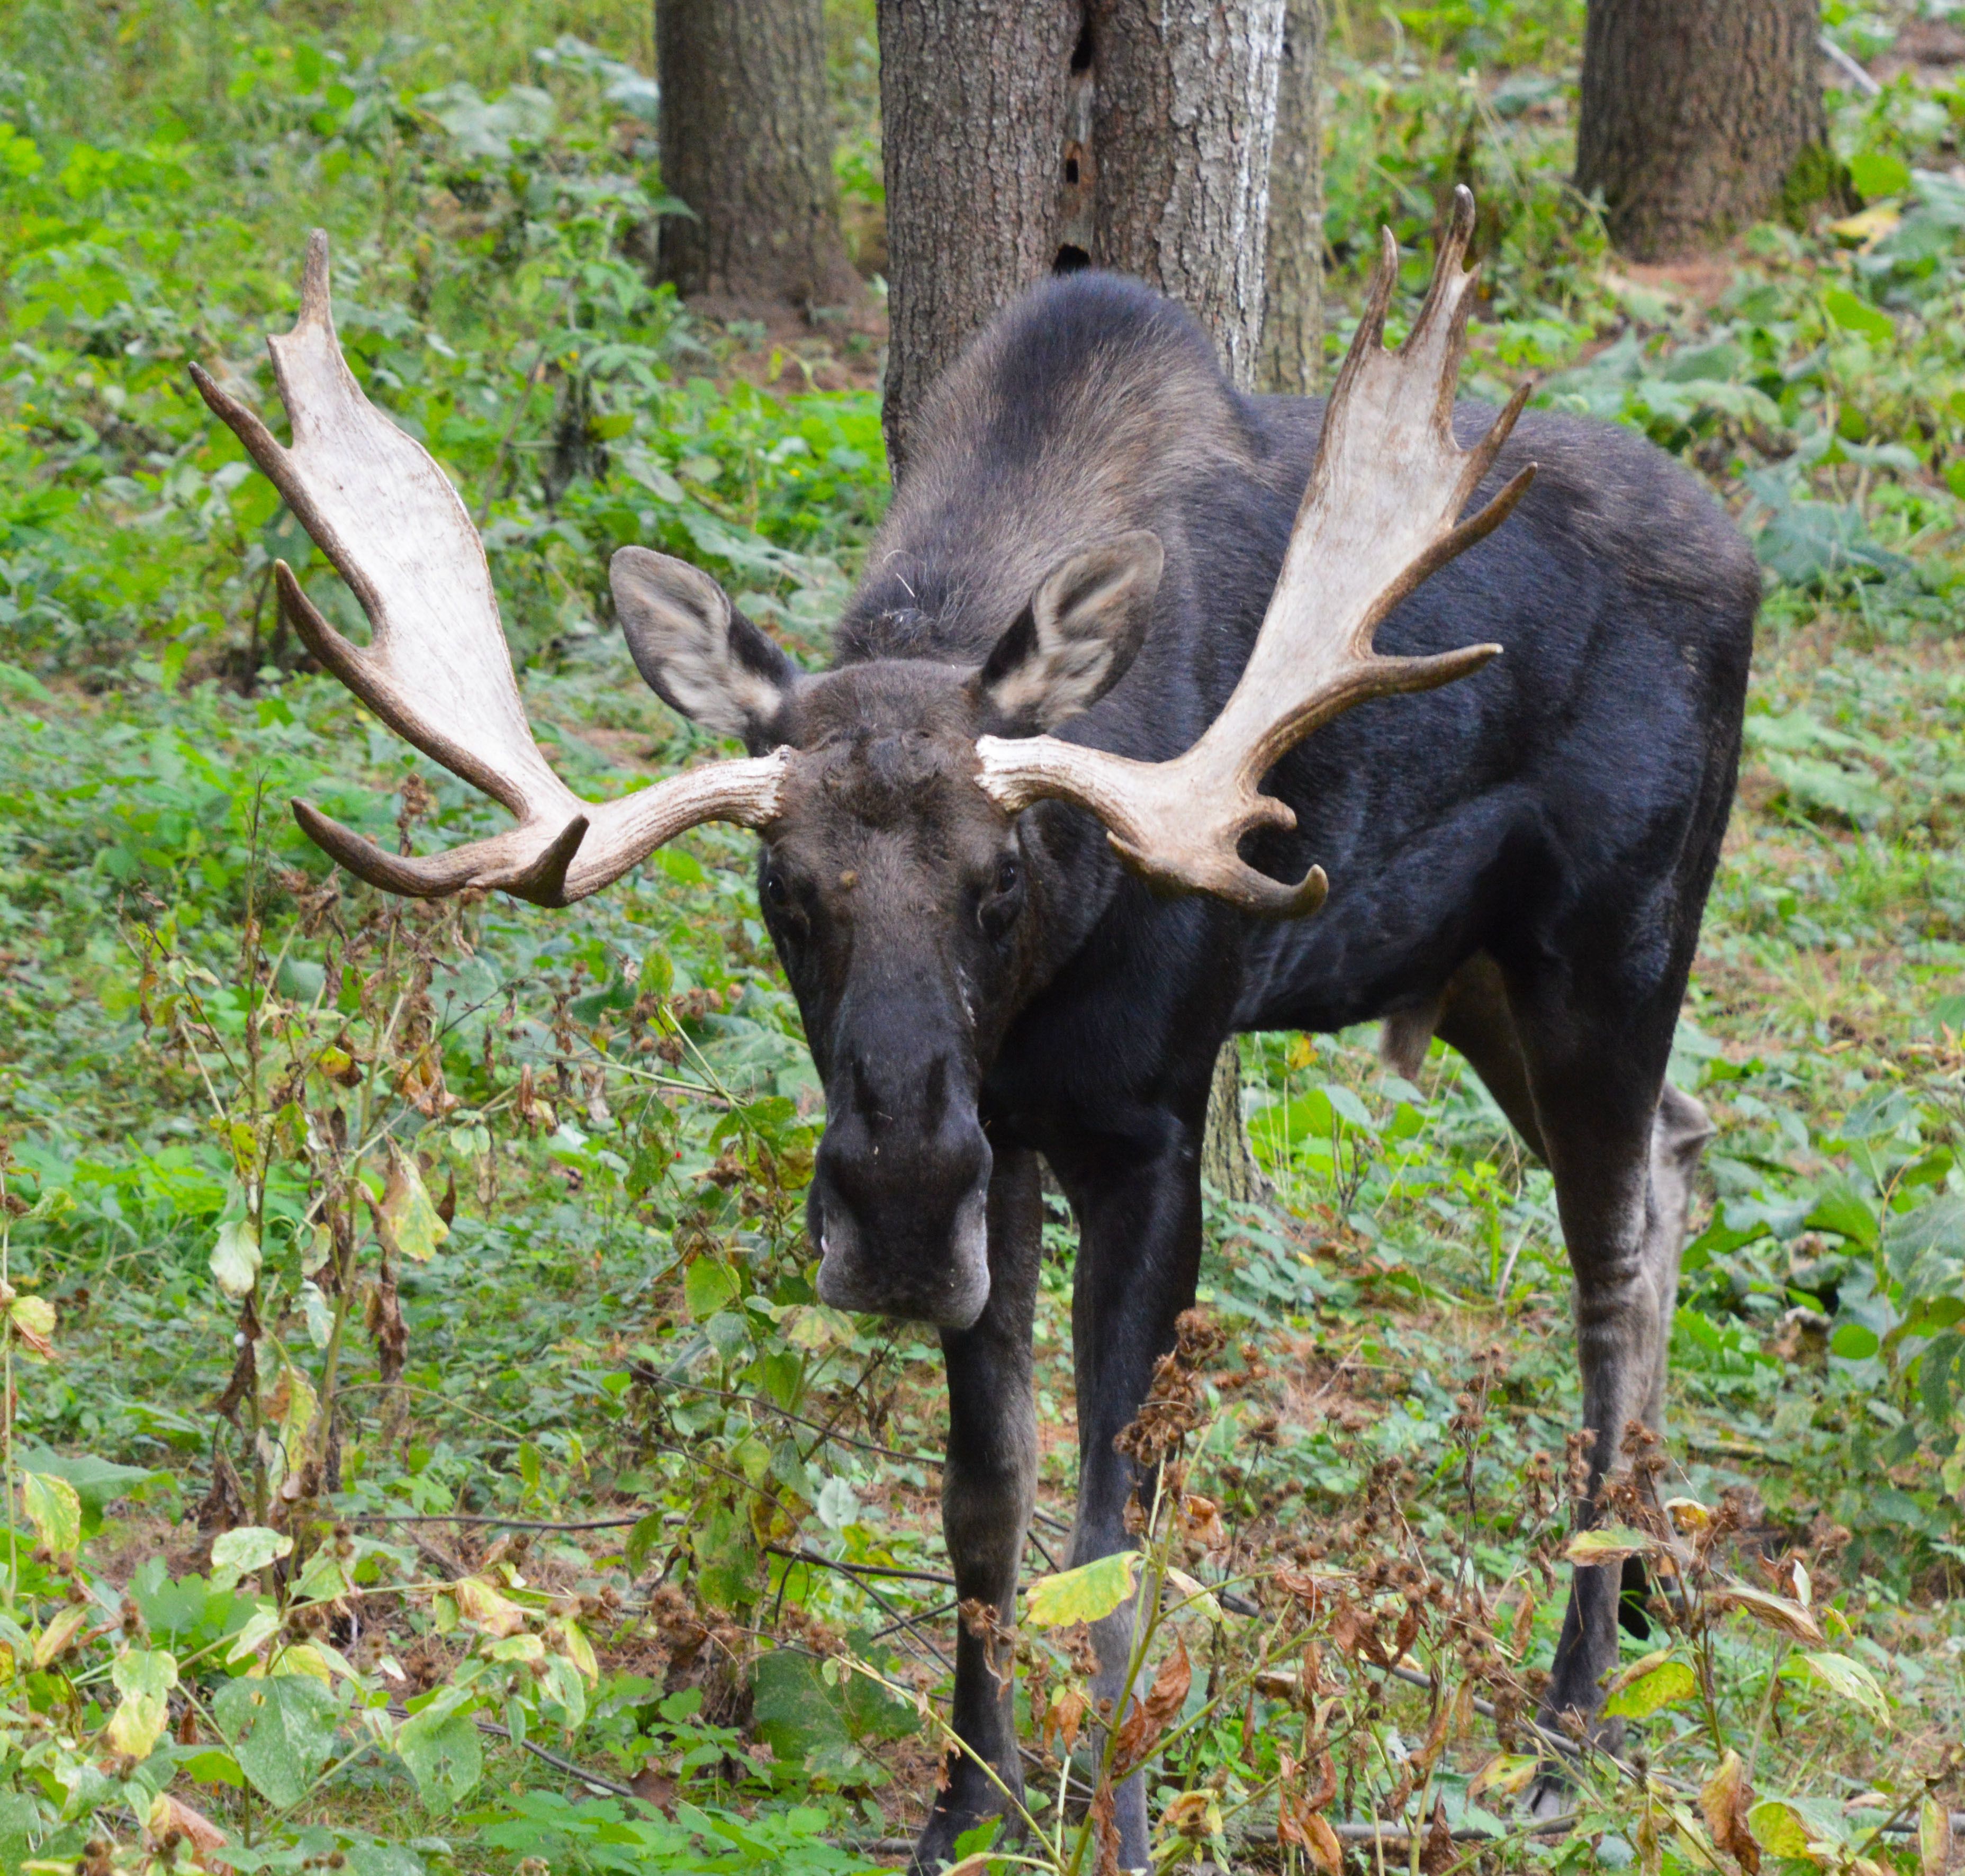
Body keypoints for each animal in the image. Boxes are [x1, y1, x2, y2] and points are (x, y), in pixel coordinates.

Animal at [193, 188, 1757, 1871]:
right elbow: (983, 1497)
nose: (889, 1207)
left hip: (1610, 953)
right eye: (782, 888)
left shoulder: (1147, 1128)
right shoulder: (995, 1140)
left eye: (1000, 877)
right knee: (1682, 1152)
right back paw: (1658, 1596)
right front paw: (969, 1803)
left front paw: (1120, 1823)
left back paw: (1573, 1725)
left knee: (1611, 1266)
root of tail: (1746, 559)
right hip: (1471, 983)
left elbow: (1110, 1533)